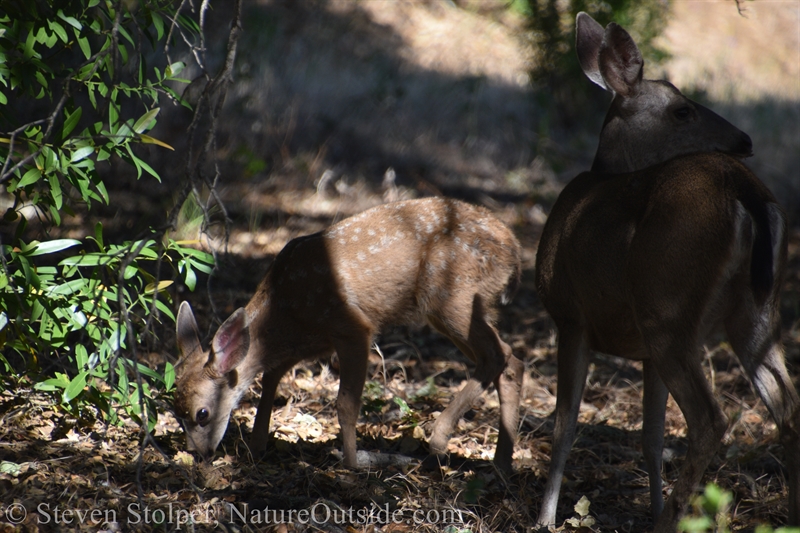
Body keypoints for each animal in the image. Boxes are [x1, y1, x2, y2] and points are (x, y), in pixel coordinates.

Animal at [175, 197, 524, 472]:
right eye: (176, 413)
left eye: (202, 414)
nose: (197, 454)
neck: (283, 306)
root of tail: (515, 249)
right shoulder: (306, 343)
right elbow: (270, 380)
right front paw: (257, 446)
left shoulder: (352, 327)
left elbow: (345, 403)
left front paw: (353, 463)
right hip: (457, 309)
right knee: (511, 362)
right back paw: (501, 464)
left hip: (453, 297)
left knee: (498, 355)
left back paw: (439, 440)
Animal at [536, 10, 796, 528]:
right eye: (682, 110)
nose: (744, 140)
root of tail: (746, 193)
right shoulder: (641, 351)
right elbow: (651, 436)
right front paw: (650, 502)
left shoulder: (570, 316)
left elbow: (564, 426)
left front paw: (544, 518)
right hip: (754, 312)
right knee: (788, 406)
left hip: (668, 304)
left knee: (710, 418)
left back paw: (670, 520)